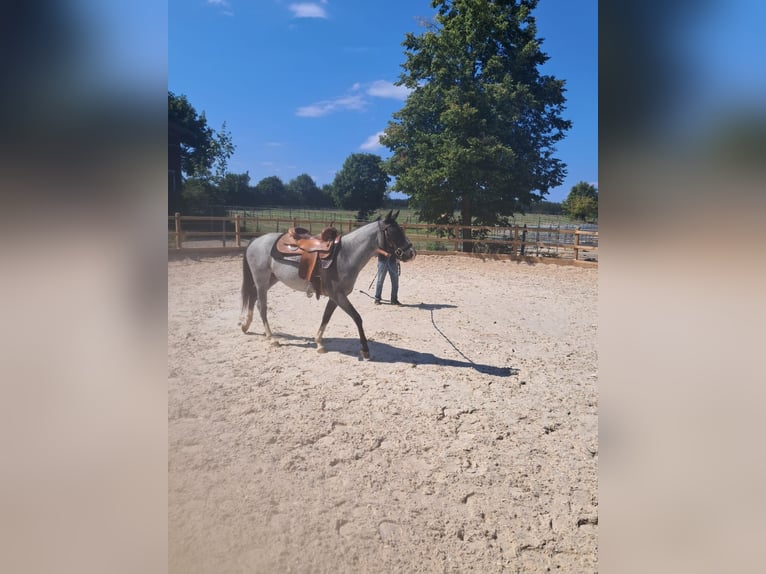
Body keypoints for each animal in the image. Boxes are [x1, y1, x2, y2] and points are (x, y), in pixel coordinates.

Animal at [239, 210, 416, 359]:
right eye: (393, 232)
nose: (411, 253)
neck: (345, 255)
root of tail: (256, 240)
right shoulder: (339, 295)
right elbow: (357, 318)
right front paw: (365, 350)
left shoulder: (335, 297)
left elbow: (326, 317)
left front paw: (319, 343)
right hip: (262, 280)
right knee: (261, 306)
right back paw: (271, 338)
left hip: (270, 279)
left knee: (253, 297)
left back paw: (245, 326)